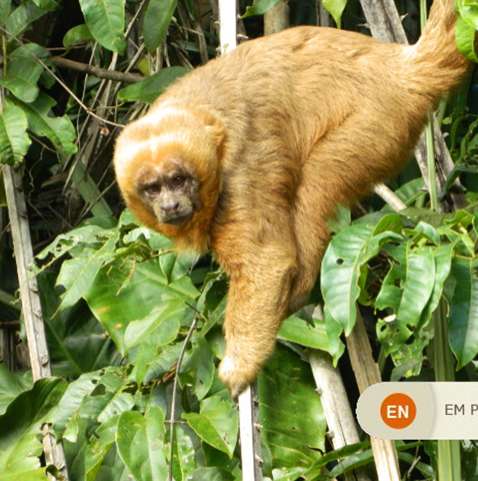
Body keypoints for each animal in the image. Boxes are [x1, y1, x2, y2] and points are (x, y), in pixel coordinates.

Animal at [113, 0, 470, 398]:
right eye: (152, 188)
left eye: (178, 180)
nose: (170, 205)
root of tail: (402, 68)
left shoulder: (240, 170)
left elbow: (266, 263)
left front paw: (240, 365)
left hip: (379, 122)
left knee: (318, 182)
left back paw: (297, 291)